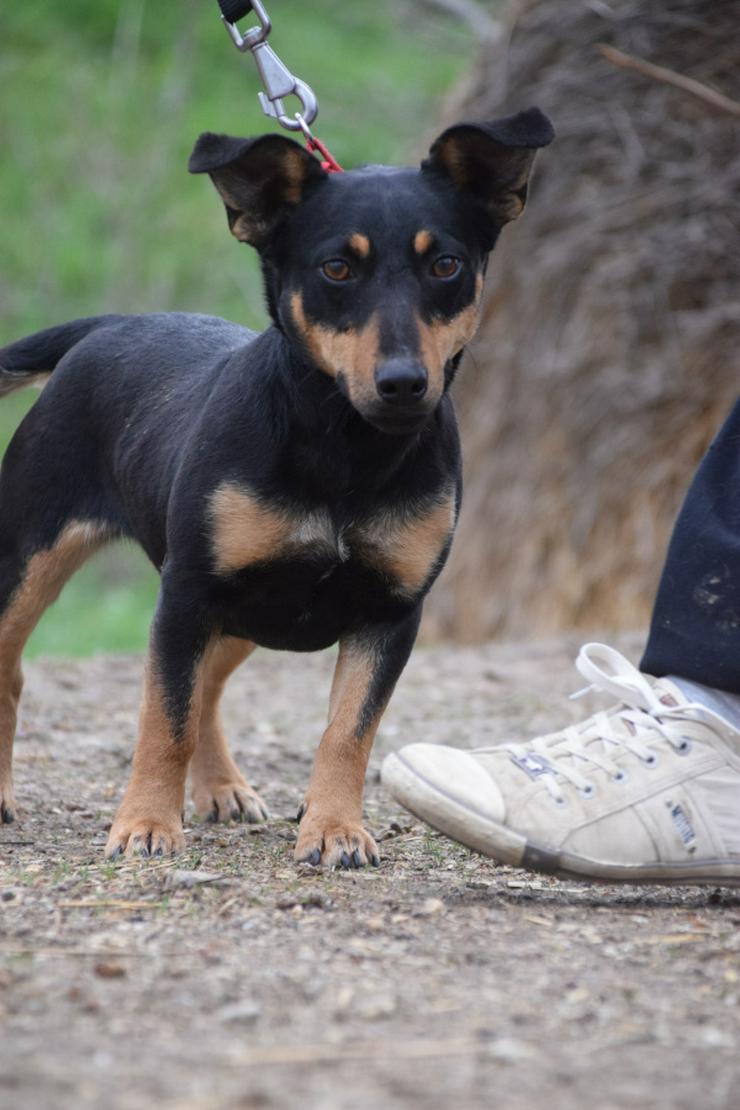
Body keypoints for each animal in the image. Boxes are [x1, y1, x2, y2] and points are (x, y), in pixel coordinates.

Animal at [0, 106, 554, 865]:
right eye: (336, 268)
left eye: (446, 266)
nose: (404, 383)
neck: (343, 446)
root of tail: (109, 326)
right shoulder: (187, 593)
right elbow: (164, 718)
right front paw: (146, 824)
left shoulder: (389, 611)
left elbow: (348, 732)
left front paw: (335, 829)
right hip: (34, 561)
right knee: (19, 674)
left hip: (244, 611)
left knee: (206, 688)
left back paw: (222, 788)